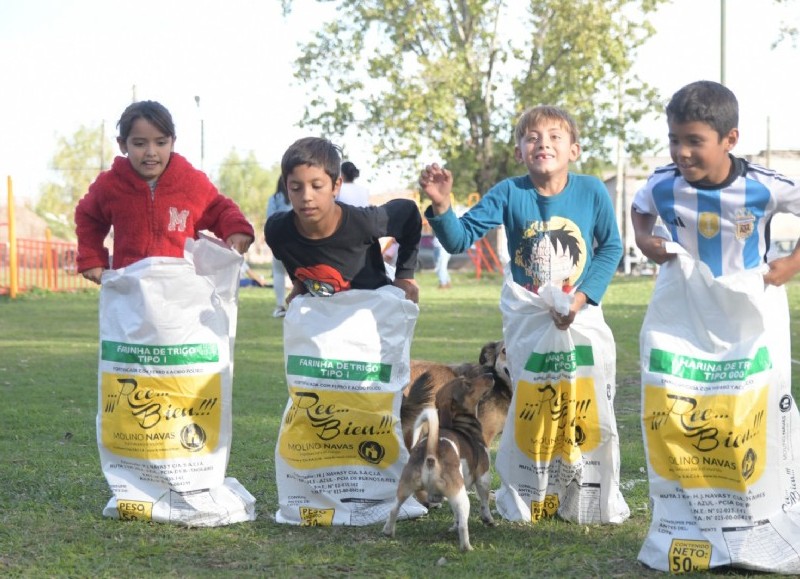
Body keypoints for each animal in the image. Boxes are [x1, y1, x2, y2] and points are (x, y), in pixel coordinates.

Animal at [382, 376, 494, 552]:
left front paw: (453, 526)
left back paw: (388, 531)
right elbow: (484, 502)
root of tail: (431, 454)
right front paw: (488, 519)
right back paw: (467, 547)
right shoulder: (483, 477)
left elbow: (455, 516)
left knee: (394, 509)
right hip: (461, 496)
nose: (490, 375)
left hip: (405, 487)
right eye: (467, 384)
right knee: (464, 525)